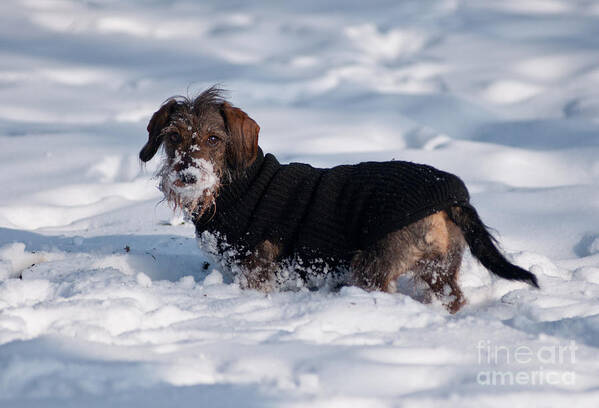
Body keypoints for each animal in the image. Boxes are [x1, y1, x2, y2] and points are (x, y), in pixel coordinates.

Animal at [141, 87, 540, 314]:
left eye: (213, 139)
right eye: (173, 137)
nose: (187, 176)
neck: (238, 186)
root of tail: (450, 196)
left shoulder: (256, 272)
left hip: (372, 266)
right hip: (438, 268)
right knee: (450, 298)